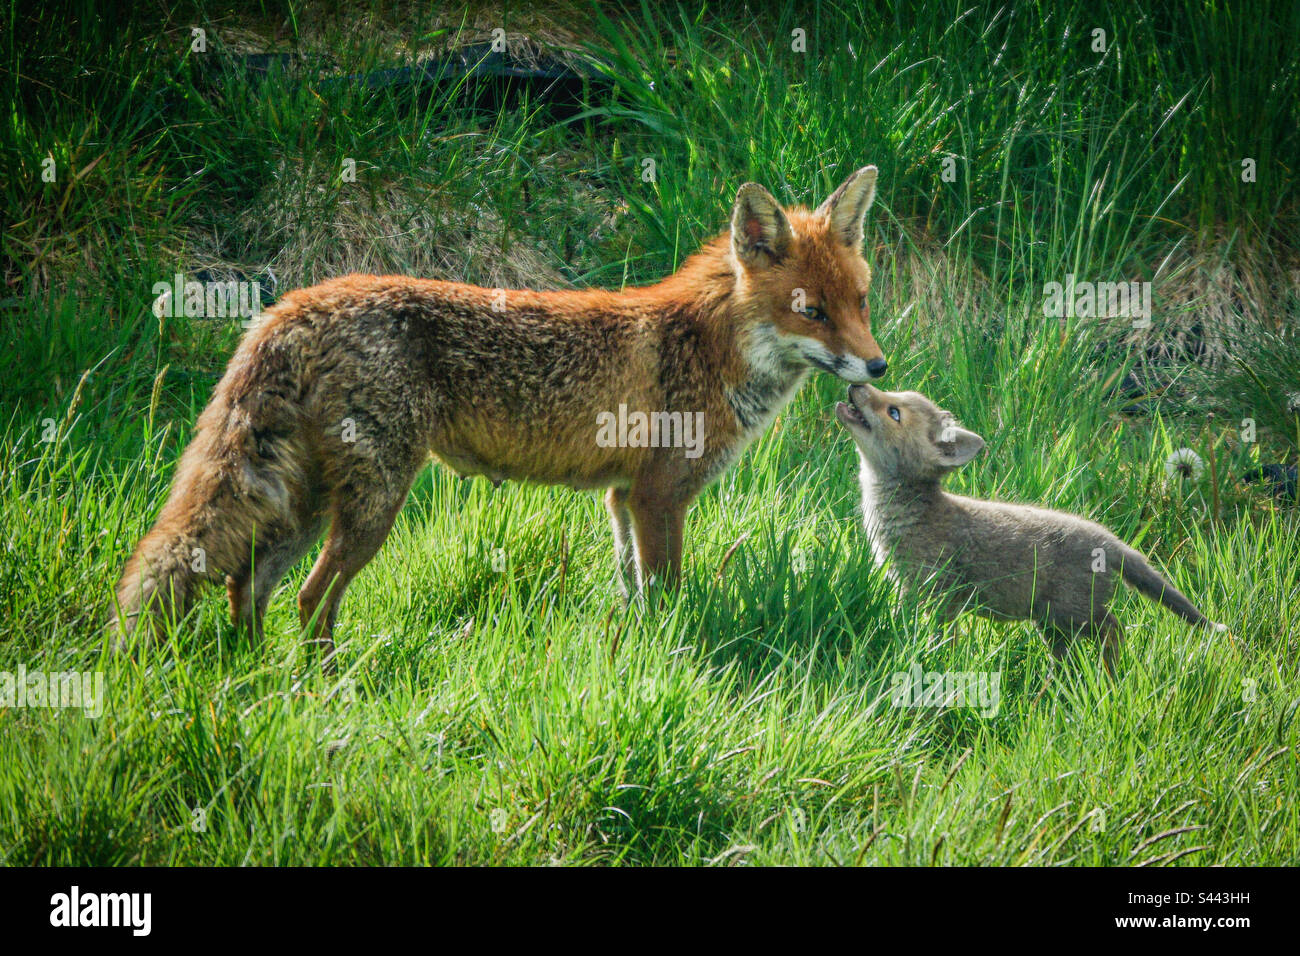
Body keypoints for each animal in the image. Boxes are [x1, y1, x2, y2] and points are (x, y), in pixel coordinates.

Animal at [111, 166, 889, 658]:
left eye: (860, 302)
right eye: (811, 312)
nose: (879, 368)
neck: (709, 347)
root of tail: (297, 303)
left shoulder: (621, 498)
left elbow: (634, 599)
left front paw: (638, 663)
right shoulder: (658, 497)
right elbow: (668, 600)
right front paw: (672, 665)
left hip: (308, 502)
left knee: (248, 585)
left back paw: (259, 685)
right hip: (374, 502)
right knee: (309, 600)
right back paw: (323, 689)